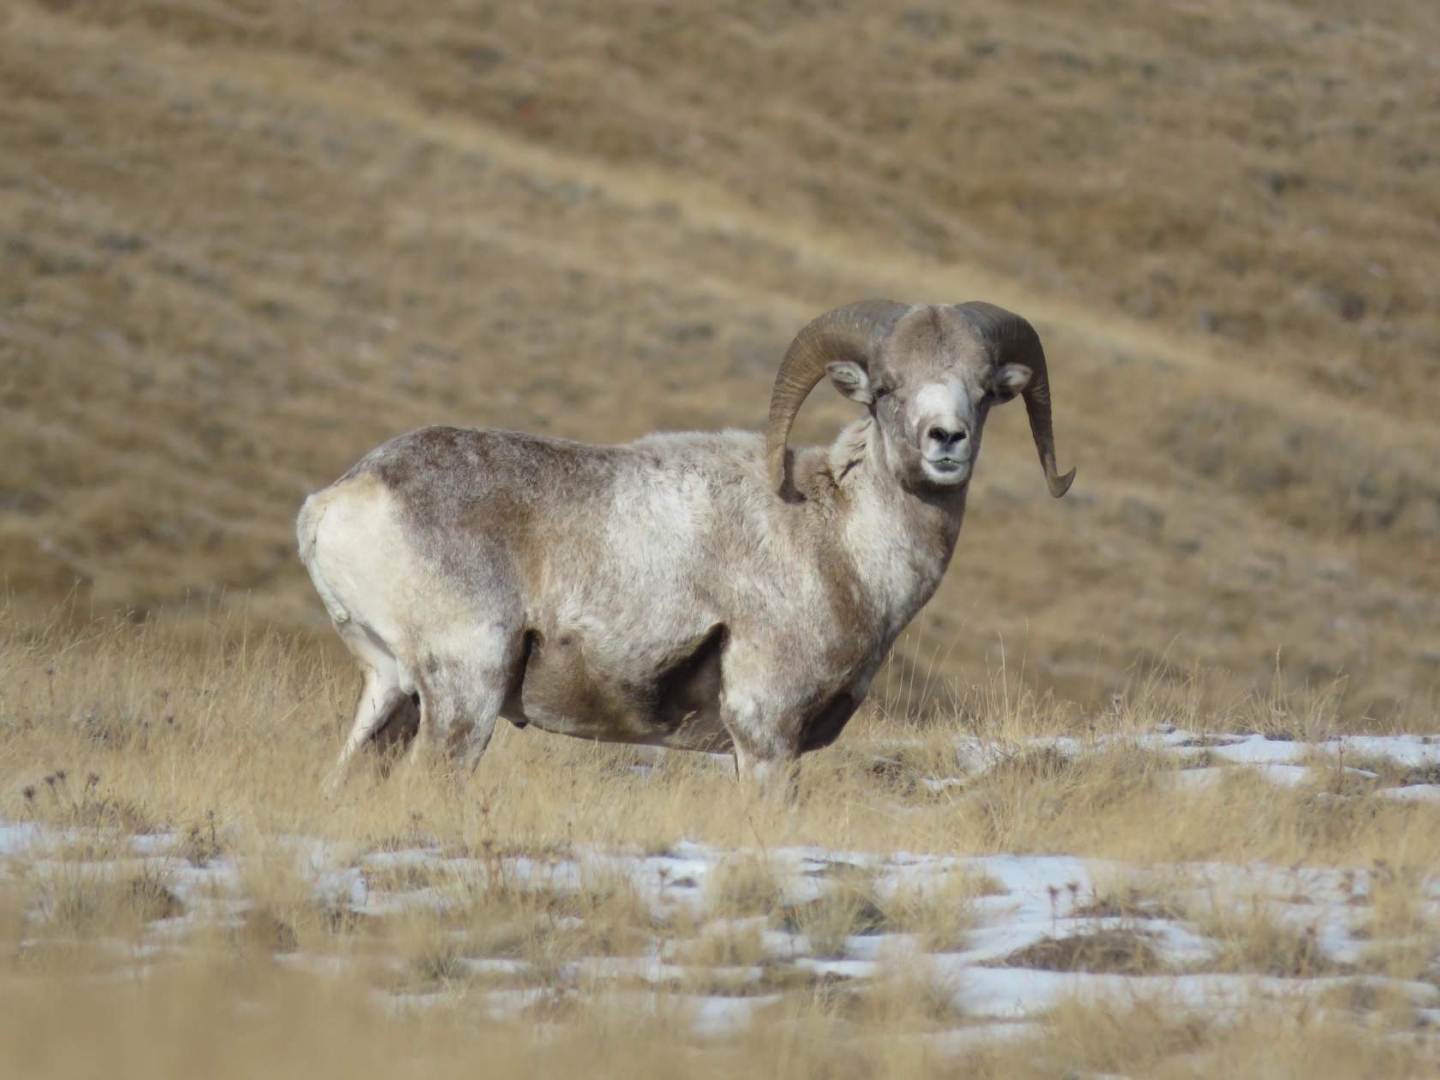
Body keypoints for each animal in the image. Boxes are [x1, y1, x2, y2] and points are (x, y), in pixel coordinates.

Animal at [298, 302, 1077, 794]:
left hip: (392, 692)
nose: (947, 440)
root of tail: (336, 502)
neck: (840, 542)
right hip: (467, 689)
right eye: (887, 388)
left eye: (983, 391)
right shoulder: (766, 731)